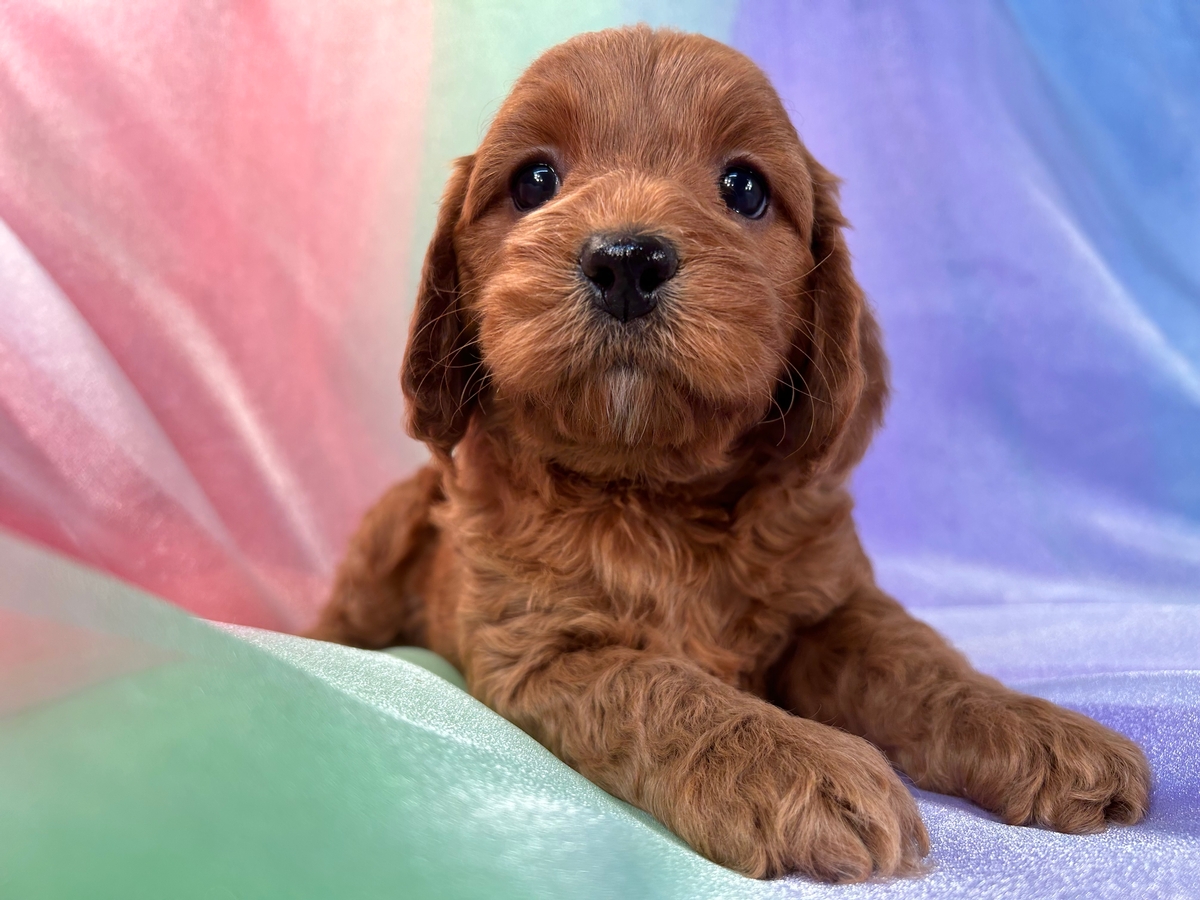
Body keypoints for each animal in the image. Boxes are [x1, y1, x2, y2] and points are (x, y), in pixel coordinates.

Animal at [304, 26, 1147, 883]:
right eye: (534, 180)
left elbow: (917, 659)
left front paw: (1038, 729)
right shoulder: (540, 649)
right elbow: (661, 684)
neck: (655, 486)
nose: (626, 261)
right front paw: (798, 767)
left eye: (743, 188)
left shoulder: (833, 603)